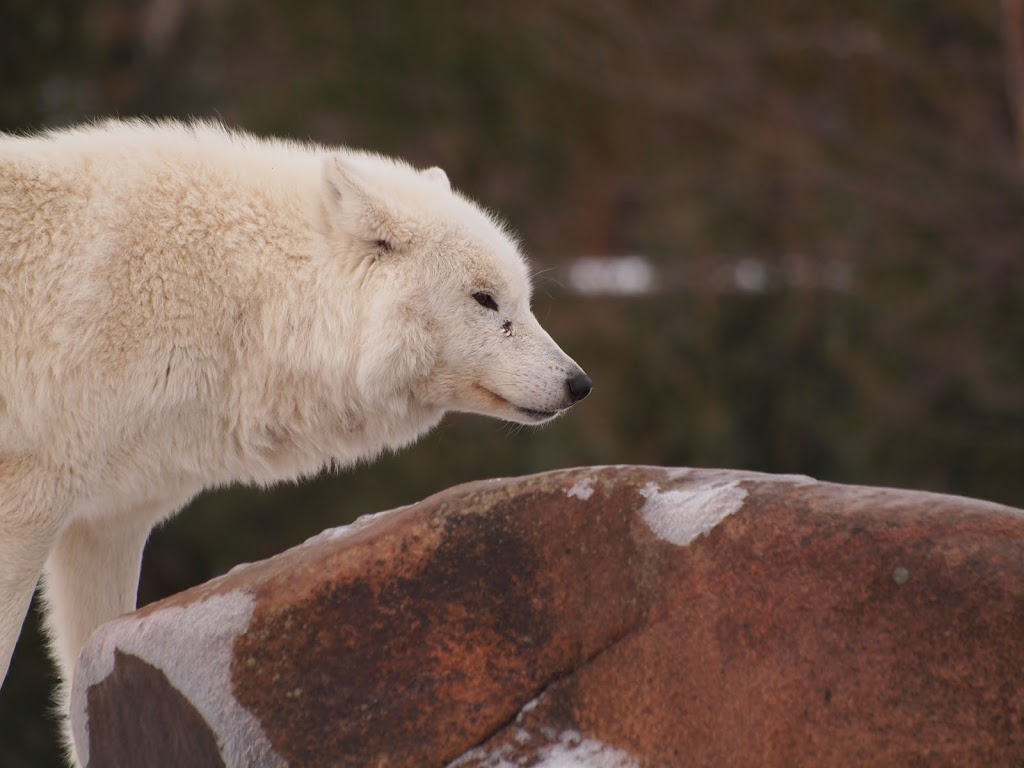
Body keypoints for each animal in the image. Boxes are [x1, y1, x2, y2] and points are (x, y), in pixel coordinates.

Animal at [0, 120, 593, 757]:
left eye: (523, 300)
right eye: (485, 299)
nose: (579, 384)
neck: (231, 295)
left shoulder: (107, 524)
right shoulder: (29, 506)